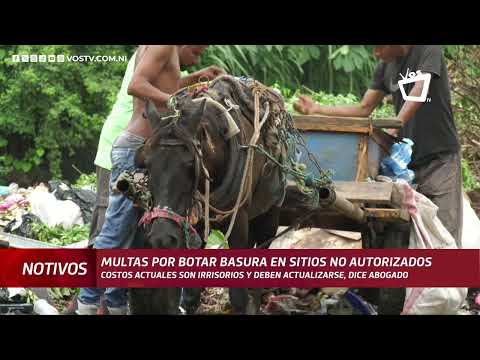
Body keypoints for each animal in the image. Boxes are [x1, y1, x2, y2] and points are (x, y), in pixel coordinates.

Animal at [127, 76, 290, 316]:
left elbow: (239, 298)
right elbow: (189, 298)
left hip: (269, 215)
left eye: (190, 164)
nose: (162, 238)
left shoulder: (239, 221)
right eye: (146, 164)